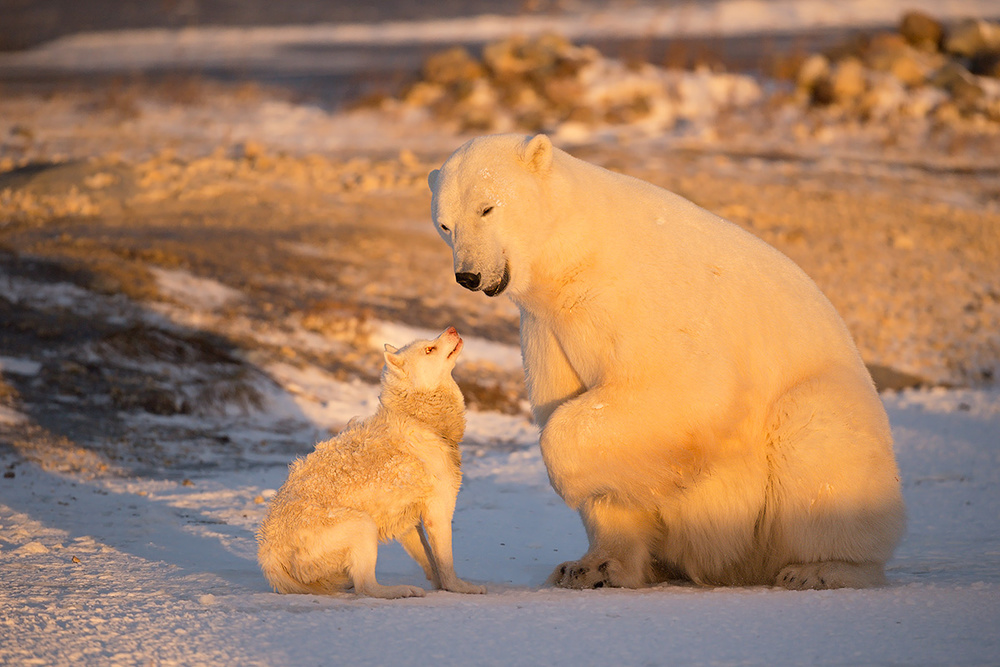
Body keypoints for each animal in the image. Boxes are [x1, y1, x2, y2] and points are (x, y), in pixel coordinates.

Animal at [256, 328, 486, 600]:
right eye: (429, 349)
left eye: (430, 341)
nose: (452, 329)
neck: (421, 419)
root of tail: (270, 557)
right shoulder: (438, 509)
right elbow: (446, 564)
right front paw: (461, 588)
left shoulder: (409, 523)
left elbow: (431, 562)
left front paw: (439, 584)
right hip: (363, 526)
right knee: (366, 587)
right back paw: (401, 590)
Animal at [428, 134, 908, 588]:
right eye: (446, 224)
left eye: (488, 207)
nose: (468, 275)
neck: (579, 255)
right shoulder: (550, 328)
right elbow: (585, 419)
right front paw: (596, 565)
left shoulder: (644, 299)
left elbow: (683, 390)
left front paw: (581, 484)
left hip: (829, 408)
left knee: (817, 440)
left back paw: (820, 569)